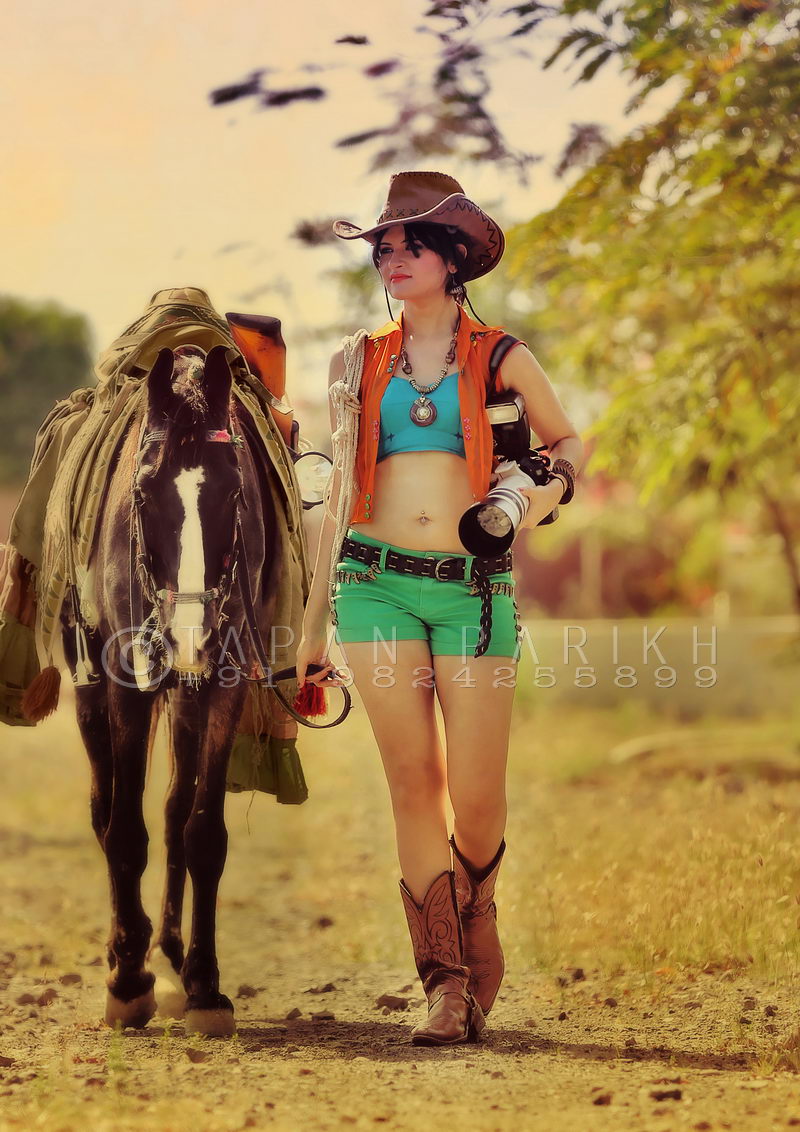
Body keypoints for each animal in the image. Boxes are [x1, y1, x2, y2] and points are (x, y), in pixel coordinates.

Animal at [58, 342, 280, 1036]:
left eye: (234, 490)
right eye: (145, 491)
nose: (189, 634)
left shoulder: (225, 679)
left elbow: (202, 832)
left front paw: (206, 985)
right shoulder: (125, 683)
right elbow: (124, 832)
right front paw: (129, 982)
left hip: (188, 694)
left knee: (176, 808)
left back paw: (176, 954)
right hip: (93, 692)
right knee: (105, 809)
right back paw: (125, 951)